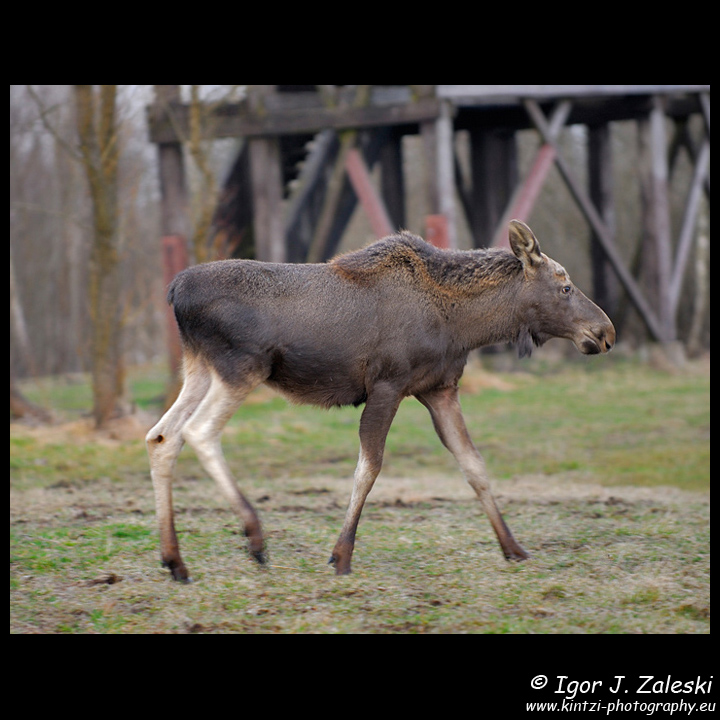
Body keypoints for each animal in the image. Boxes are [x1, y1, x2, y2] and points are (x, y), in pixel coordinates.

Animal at [146, 220, 615, 581]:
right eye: (565, 286)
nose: (605, 332)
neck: (464, 325)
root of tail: (173, 292)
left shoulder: (439, 388)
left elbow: (473, 464)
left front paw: (513, 547)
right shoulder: (388, 385)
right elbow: (369, 468)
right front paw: (341, 555)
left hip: (201, 368)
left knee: (162, 437)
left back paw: (175, 561)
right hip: (242, 366)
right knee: (198, 432)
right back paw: (254, 537)